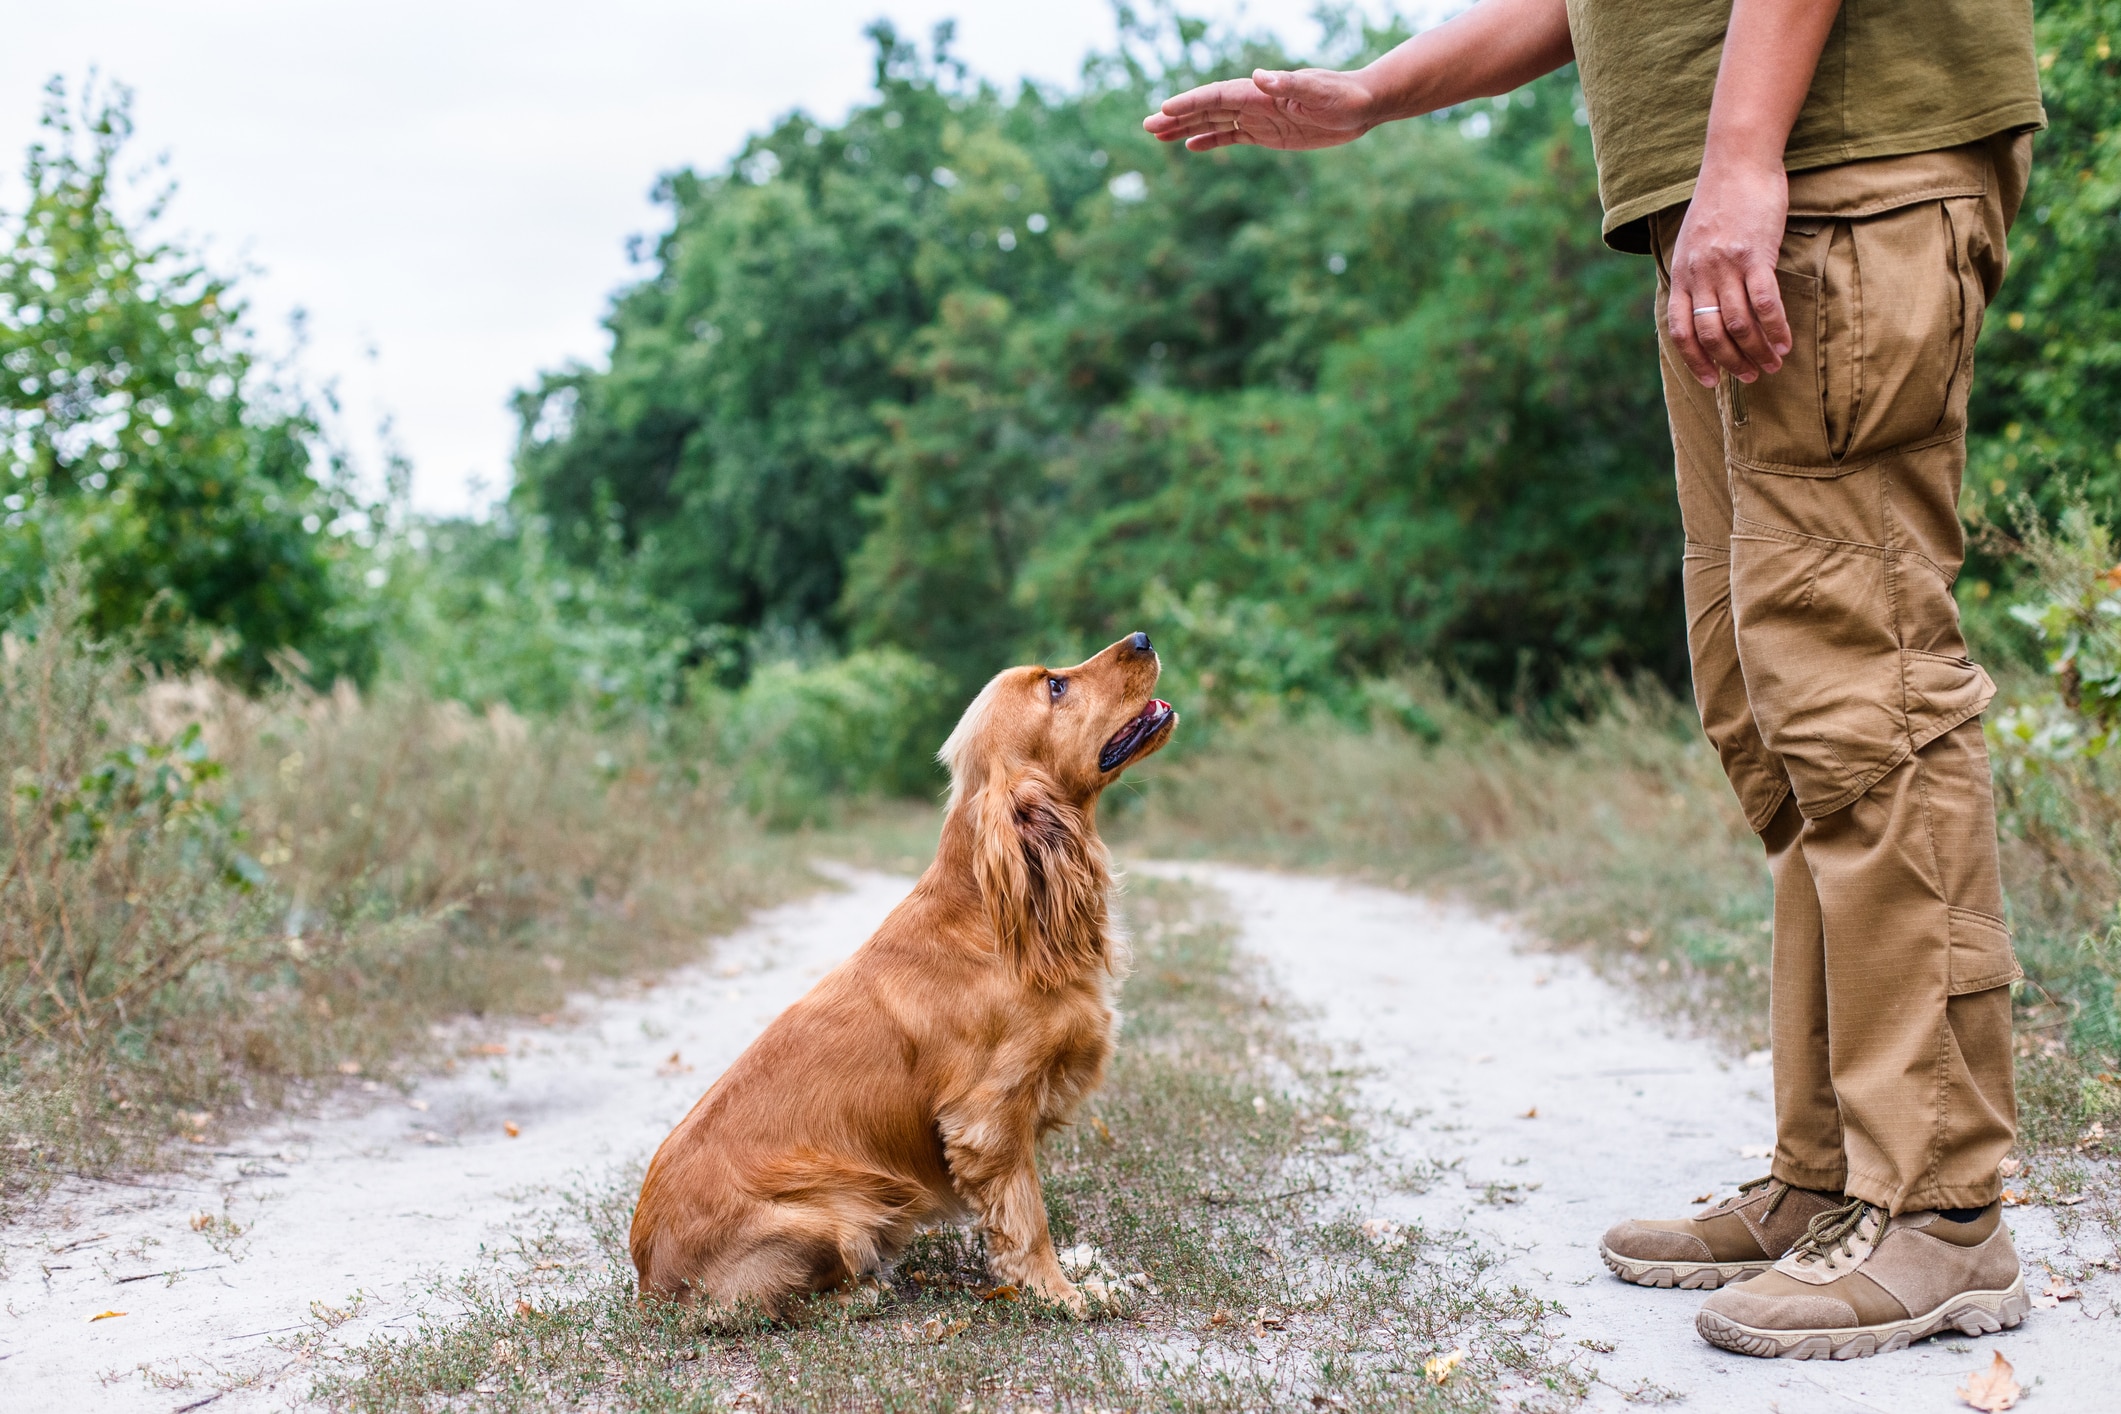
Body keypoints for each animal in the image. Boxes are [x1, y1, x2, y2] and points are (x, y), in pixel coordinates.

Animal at [632, 635, 1179, 1322]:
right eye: (1054, 686)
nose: (1143, 639)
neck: (991, 914)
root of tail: (650, 1282)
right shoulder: (989, 1118)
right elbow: (1026, 1219)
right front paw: (1059, 1294)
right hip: (840, 1205)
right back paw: (868, 1289)